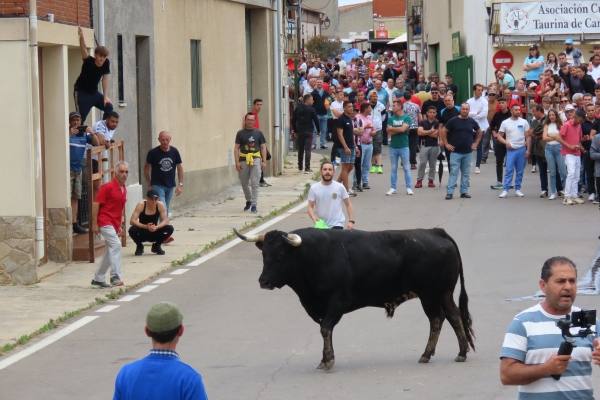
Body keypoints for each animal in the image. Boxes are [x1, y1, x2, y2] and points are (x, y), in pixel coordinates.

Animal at [234, 227, 474, 370]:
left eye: (281, 255)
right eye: (264, 254)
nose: (263, 281)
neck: (312, 256)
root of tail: (436, 231)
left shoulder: (337, 302)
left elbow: (326, 329)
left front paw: (328, 360)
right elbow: (325, 330)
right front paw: (324, 358)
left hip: (432, 294)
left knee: (439, 319)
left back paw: (435, 354)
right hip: (441, 294)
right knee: (451, 317)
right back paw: (454, 352)